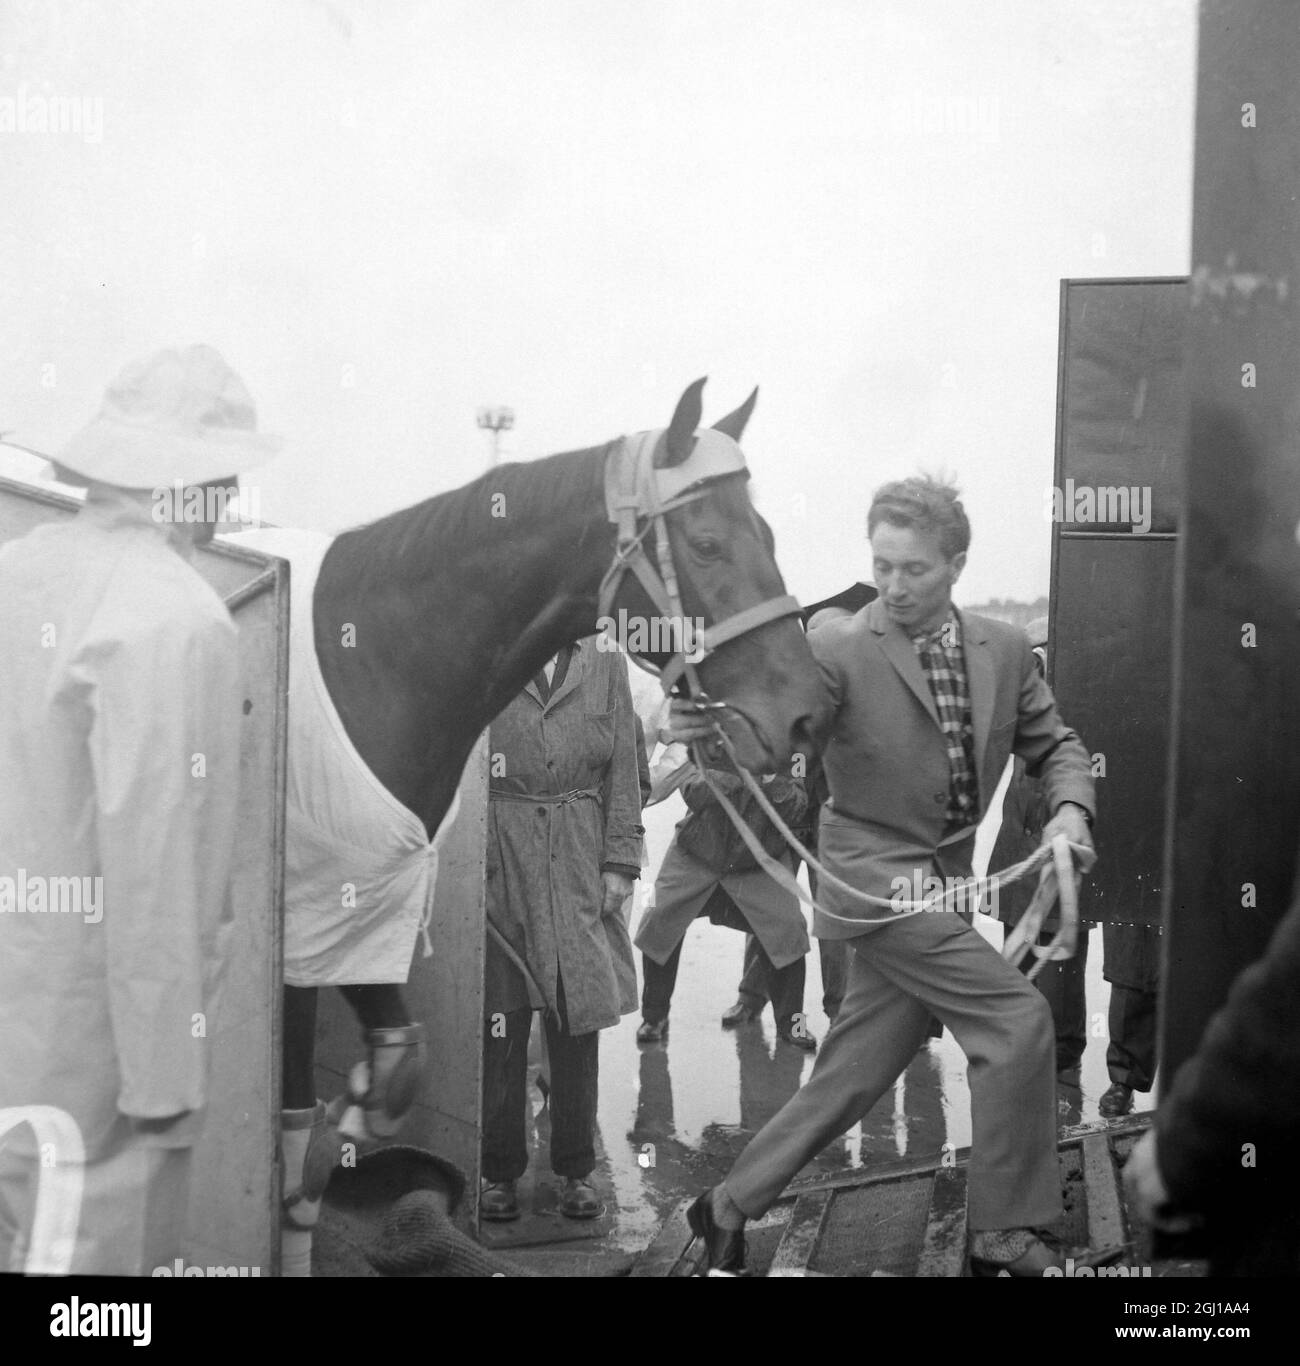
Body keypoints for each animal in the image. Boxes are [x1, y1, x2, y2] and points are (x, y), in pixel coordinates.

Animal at [269, 379, 830, 1273]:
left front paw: (357, 1130)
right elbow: (294, 1126)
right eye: (707, 543)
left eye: (768, 535)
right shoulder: (304, 928)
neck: (363, 669)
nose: (810, 713)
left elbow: (387, 1078)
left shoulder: (364, 919)